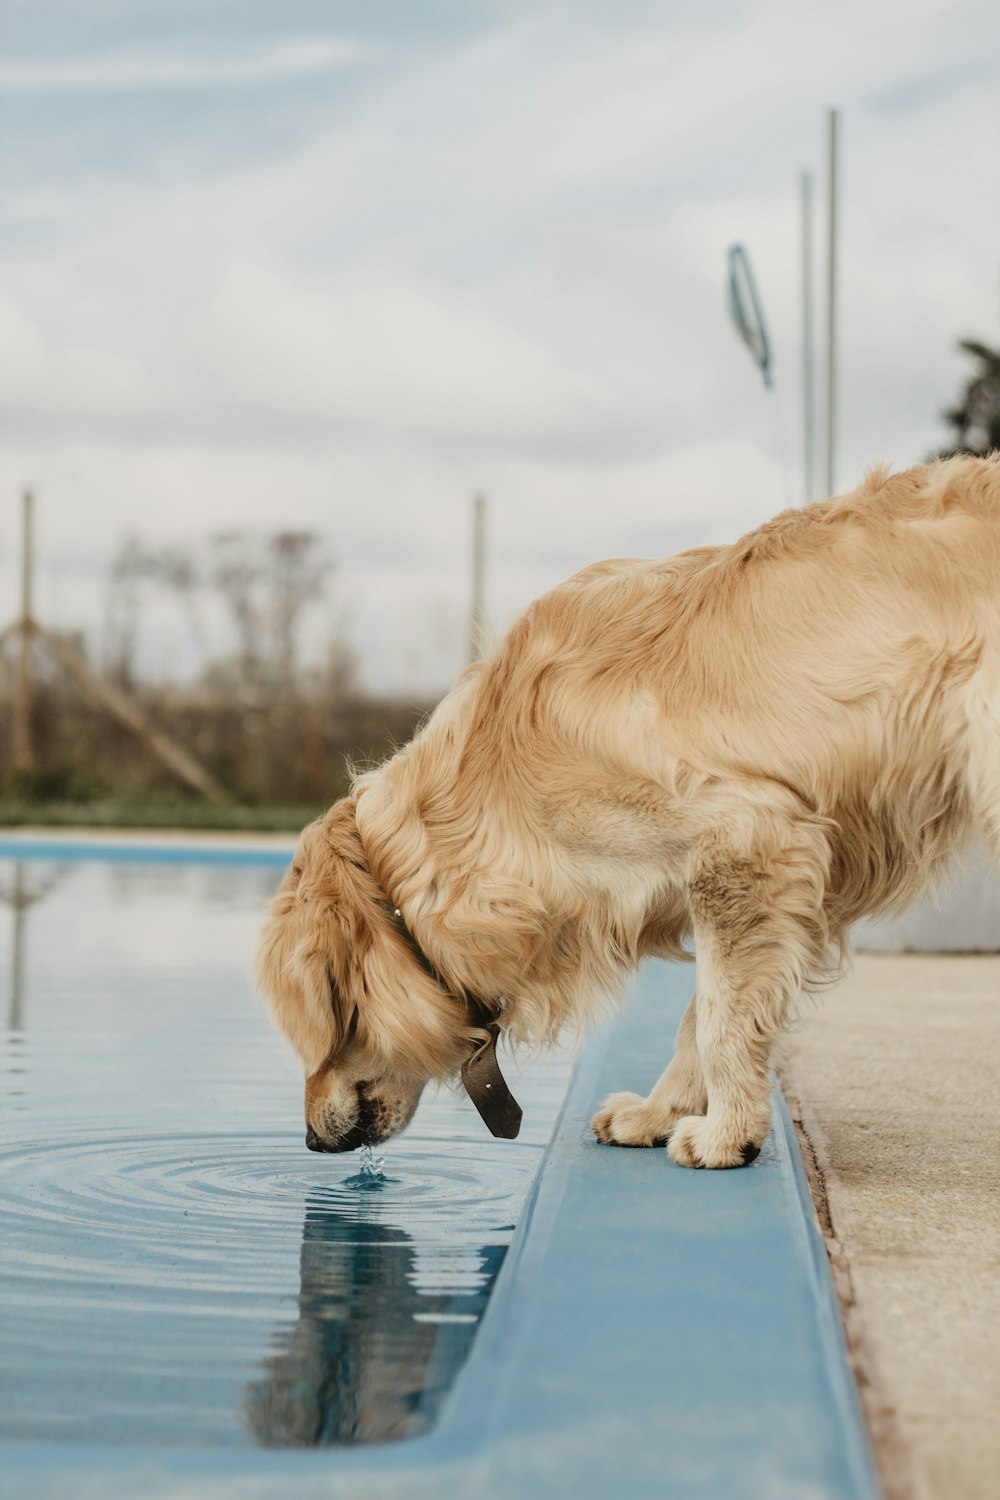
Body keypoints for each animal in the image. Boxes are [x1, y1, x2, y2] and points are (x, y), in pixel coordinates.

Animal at [260, 456, 1000, 1170]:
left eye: (317, 1029)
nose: (310, 1142)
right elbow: (698, 1016)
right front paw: (659, 1113)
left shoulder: (747, 842)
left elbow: (721, 1016)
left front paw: (728, 1134)